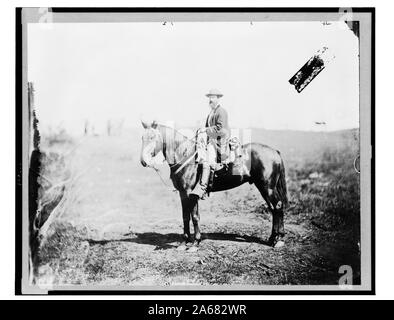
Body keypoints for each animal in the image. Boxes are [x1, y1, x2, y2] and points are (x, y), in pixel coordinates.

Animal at [140, 120, 288, 250]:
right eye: (142, 137)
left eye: (152, 137)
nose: (143, 161)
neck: (185, 155)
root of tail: (275, 151)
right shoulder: (183, 194)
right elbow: (185, 216)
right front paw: (184, 242)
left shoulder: (190, 193)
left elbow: (195, 217)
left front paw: (195, 243)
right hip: (263, 188)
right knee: (273, 209)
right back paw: (272, 238)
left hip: (267, 187)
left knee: (277, 207)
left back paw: (278, 240)